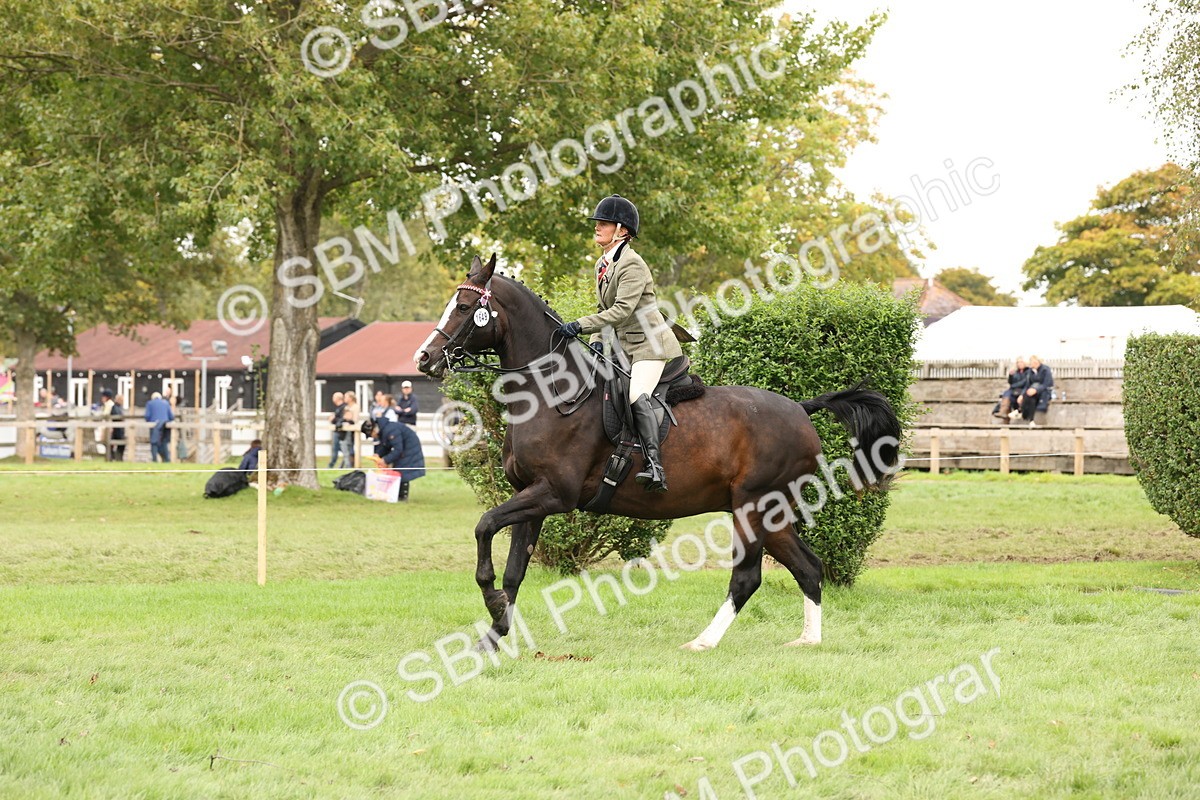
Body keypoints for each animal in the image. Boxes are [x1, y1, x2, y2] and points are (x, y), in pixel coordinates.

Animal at [414, 254, 902, 652]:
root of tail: (802, 409)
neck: (551, 393)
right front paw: (494, 634)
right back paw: (807, 640)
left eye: (464, 309)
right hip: (773, 513)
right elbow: (515, 569)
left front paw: (491, 601)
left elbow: (484, 526)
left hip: (754, 506)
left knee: (747, 577)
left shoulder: (554, 494)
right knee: (809, 567)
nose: (425, 358)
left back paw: (703, 642)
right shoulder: (530, 496)